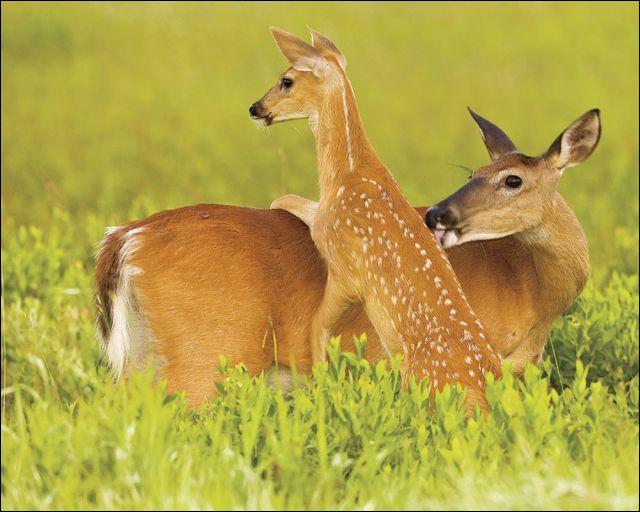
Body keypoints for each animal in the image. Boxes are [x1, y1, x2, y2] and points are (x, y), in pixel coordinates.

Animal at [248, 27, 502, 411]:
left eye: (286, 80)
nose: (255, 108)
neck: (348, 172)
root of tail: (486, 384)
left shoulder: (344, 267)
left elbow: (317, 326)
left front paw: (321, 380)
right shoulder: (327, 221)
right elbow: (289, 200)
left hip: (426, 382)